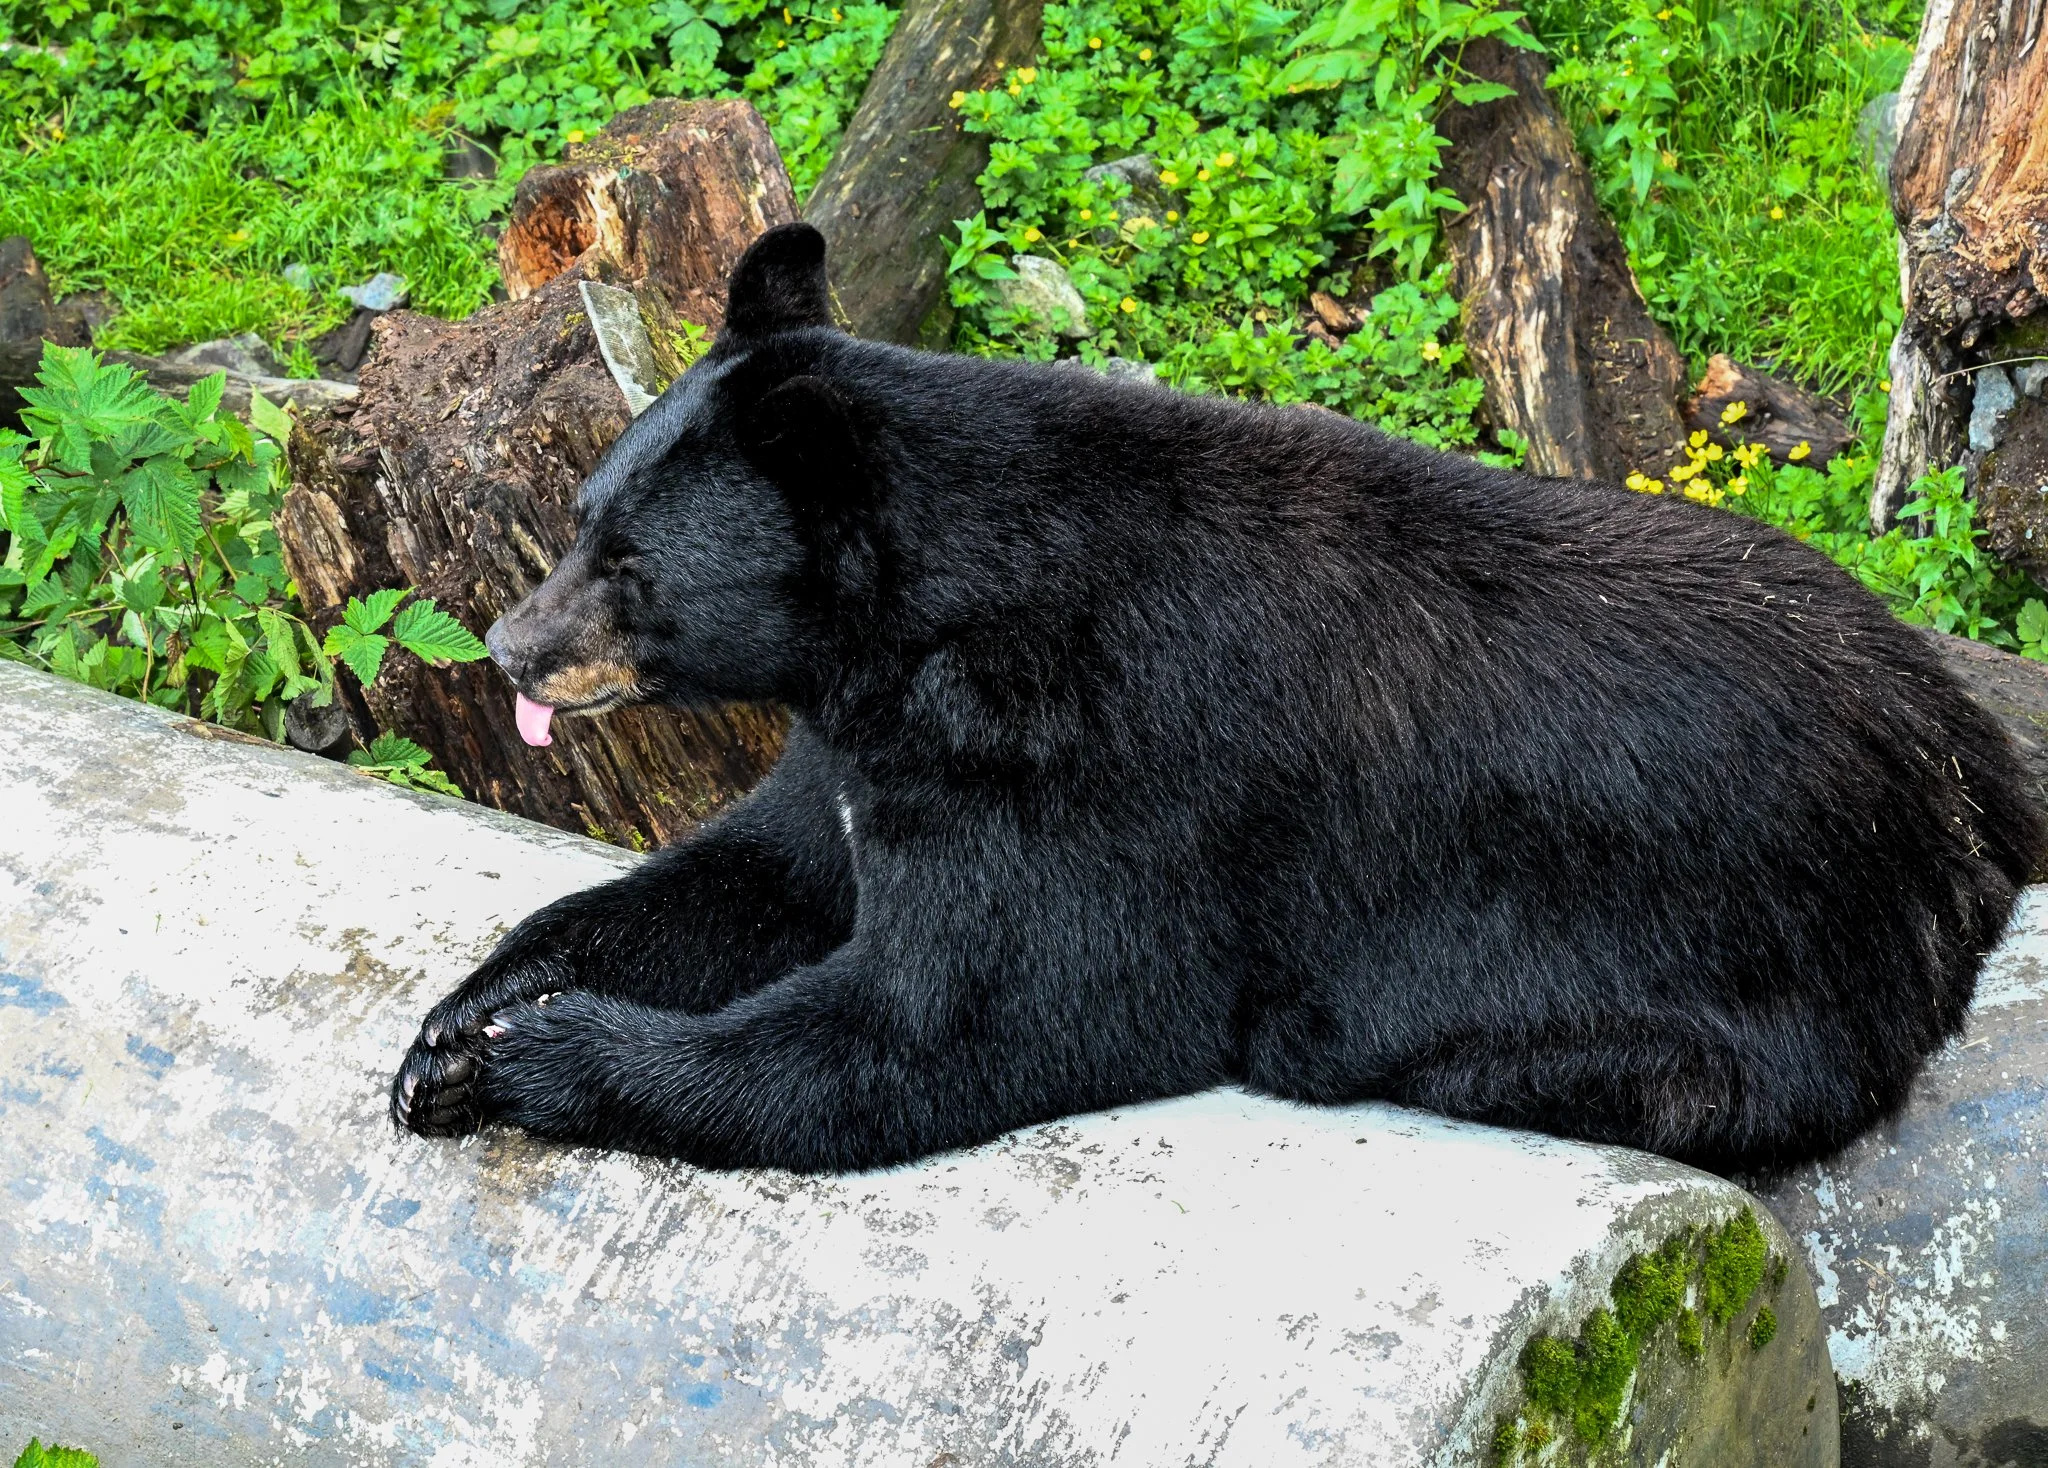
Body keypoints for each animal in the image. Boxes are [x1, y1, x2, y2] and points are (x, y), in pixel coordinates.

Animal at [391, 221, 2042, 1176]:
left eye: (628, 566)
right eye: (584, 516)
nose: (509, 648)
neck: (918, 633)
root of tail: (1961, 761)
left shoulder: (1096, 768)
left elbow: (945, 1025)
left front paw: (536, 1061)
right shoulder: (864, 740)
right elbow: (755, 873)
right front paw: (461, 1023)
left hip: (1757, 966)